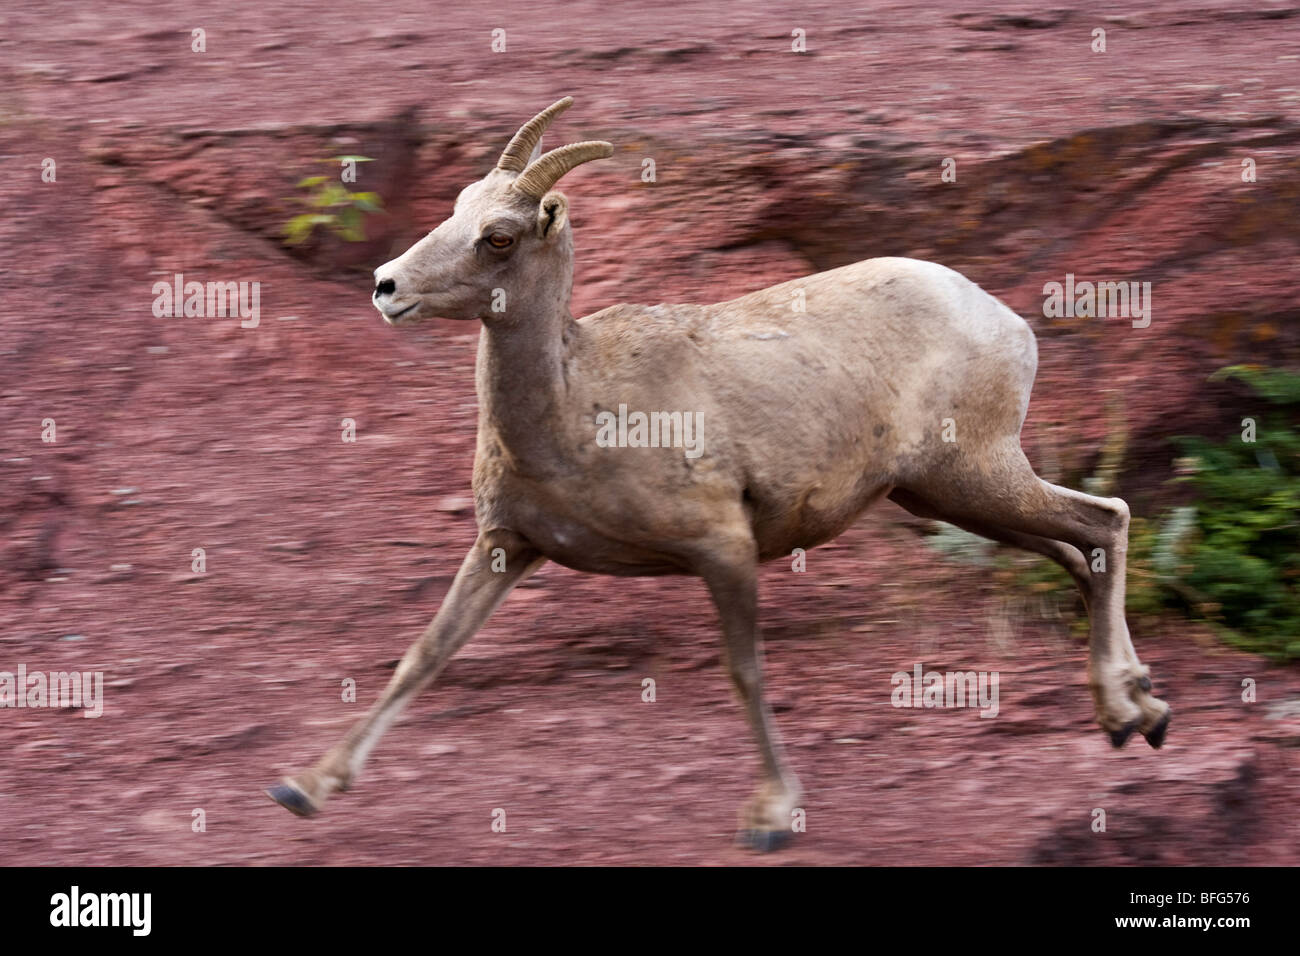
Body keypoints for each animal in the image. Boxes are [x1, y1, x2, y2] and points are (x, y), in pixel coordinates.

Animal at [263, 97, 1170, 848]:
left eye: (500, 237)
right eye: (454, 209)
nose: (386, 287)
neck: (578, 408)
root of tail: (1001, 319)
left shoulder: (723, 550)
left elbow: (744, 671)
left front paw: (771, 816)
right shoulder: (506, 547)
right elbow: (423, 654)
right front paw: (305, 788)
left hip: (975, 475)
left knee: (1106, 520)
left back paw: (1132, 711)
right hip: (945, 495)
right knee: (1077, 550)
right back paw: (1137, 711)